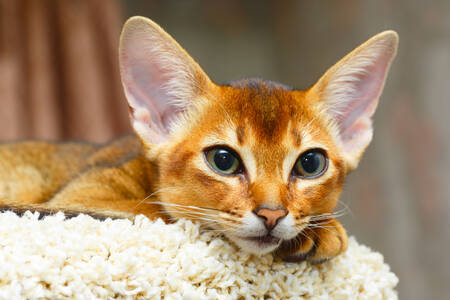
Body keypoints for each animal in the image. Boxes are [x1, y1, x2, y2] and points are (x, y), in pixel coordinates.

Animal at [0, 17, 398, 264]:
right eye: (223, 159)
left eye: (310, 163)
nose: (272, 215)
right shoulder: (82, 198)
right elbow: (162, 213)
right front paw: (322, 232)